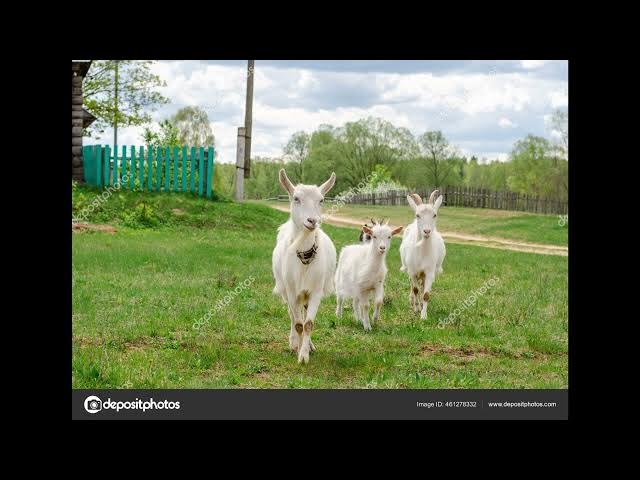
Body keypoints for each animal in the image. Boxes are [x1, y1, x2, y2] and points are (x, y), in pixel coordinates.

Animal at [272, 169, 337, 363]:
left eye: (321, 200)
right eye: (296, 198)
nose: (312, 220)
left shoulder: (315, 290)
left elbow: (308, 324)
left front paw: (304, 354)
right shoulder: (292, 290)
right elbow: (299, 324)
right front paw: (298, 348)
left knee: (303, 312)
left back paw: (309, 345)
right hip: (286, 289)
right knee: (292, 315)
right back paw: (294, 342)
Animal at [399, 190, 446, 319]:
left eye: (434, 215)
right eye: (417, 215)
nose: (427, 231)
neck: (422, 253)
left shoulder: (429, 272)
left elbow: (426, 294)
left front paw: (423, 315)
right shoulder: (412, 270)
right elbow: (415, 289)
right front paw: (416, 309)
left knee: (422, 286)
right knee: (413, 286)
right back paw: (413, 301)